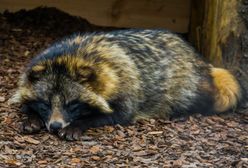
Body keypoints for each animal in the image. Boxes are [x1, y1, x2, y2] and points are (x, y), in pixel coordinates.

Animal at [10, 29, 242, 140]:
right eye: (45, 104)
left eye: (72, 105)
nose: (55, 126)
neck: (70, 55)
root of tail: (202, 62)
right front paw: (33, 117)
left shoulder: (126, 86)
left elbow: (116, 114)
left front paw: (79, 123)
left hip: (190, 83)